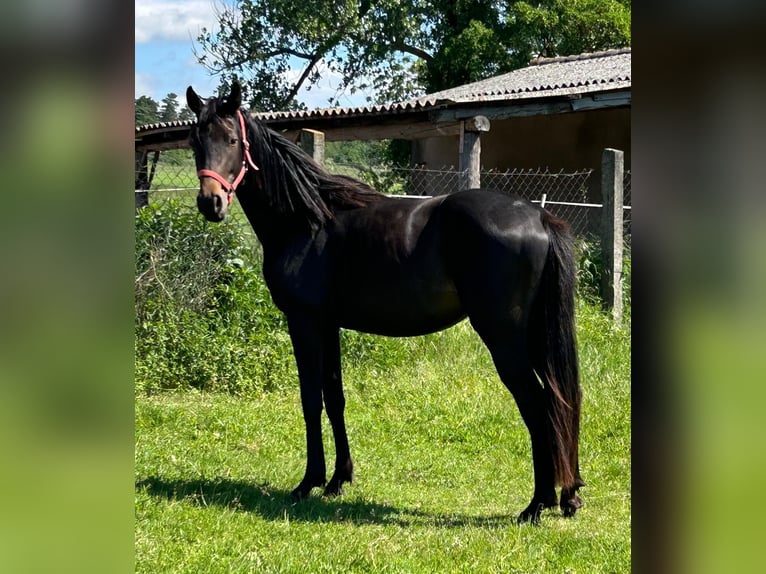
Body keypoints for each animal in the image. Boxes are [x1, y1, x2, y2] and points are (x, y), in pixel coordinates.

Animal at [185, 82, 584, 524]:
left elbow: (310, 400)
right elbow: (334, 397)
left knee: (538, 402)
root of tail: (537, 217)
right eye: (195, 141)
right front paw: (338, 479)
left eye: (232, 140)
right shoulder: (329, 324)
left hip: (504, 337)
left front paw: (308, 482)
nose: (210, 203)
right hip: (533, 334)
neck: (307, 220)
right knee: (561, 398)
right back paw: (568, 495)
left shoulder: (303, 322)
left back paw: (538, 503)